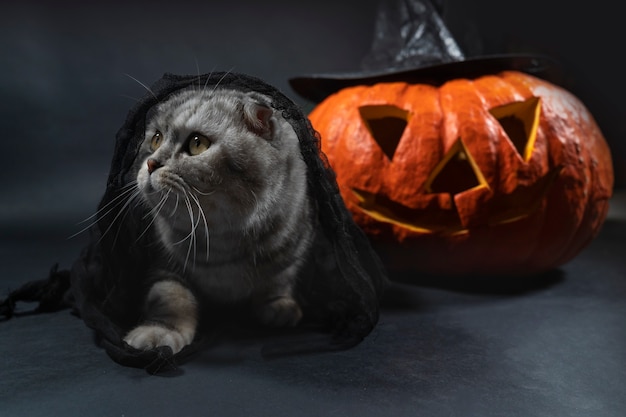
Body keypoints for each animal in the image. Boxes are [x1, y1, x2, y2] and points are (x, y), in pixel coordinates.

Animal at [122, 86, 314, 352]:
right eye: (156, 139)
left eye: (197, 143)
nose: (151, 163)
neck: (222, 241)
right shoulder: (163, 263)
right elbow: (170, 298)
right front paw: (159, 332)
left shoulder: (292, 248)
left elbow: (278, 280)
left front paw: (279, 304)